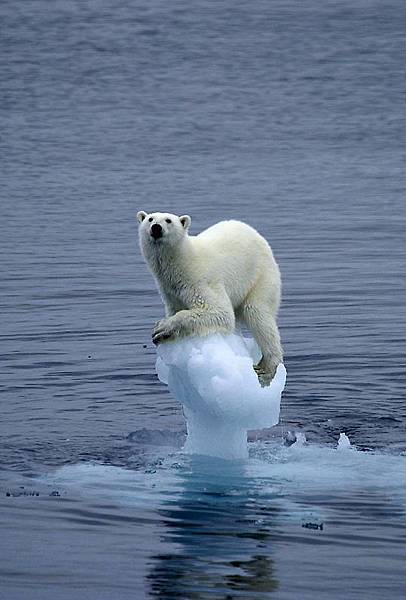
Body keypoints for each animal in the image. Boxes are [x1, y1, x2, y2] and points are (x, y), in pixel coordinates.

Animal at [136, 211, 282, 386]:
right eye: (150, 219)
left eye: (168, 220)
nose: (156, 228)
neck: (182, 261)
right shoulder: (170, 290)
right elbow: (176, 308)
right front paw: (164, 334)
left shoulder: (199, 280)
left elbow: (218, 312)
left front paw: (162, 328)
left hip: (260, 276)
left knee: (258, 314)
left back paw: (266, 368)